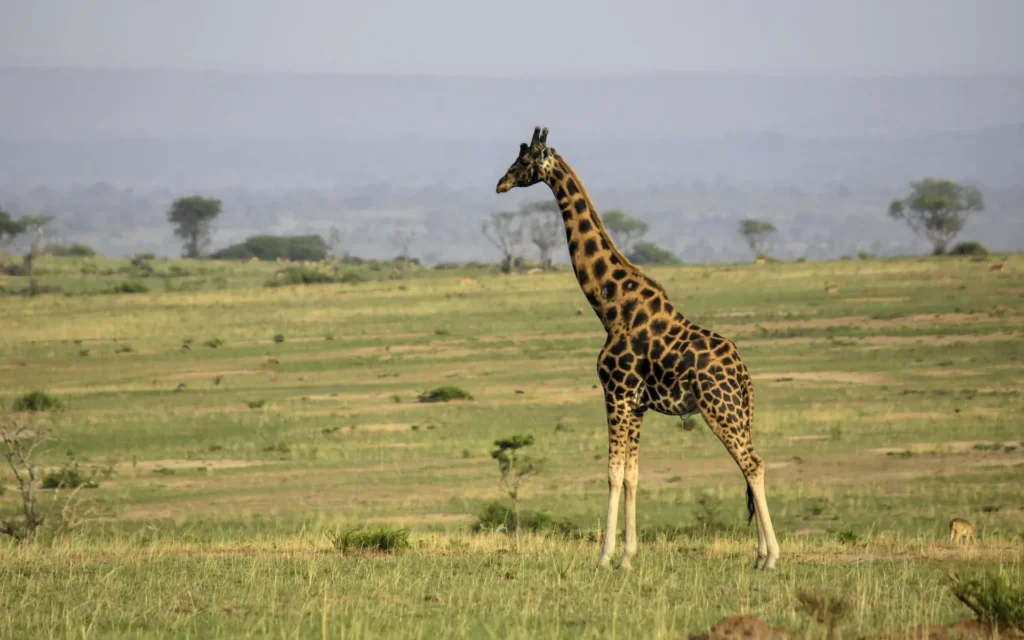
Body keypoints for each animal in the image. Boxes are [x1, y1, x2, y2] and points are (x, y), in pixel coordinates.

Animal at [495, 126, 781, 570]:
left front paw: (604, 557)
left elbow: (613, 473)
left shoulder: (617, 392)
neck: (611, 305)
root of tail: (743, 373)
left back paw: (771, 558)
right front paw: (628, 556)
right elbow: (632, 475)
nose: (500, 184)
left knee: (754, 464)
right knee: (751, 464)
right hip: (736, 410)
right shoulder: (637, 403)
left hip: (720, 407)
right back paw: (758, 556)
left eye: (524, 161)